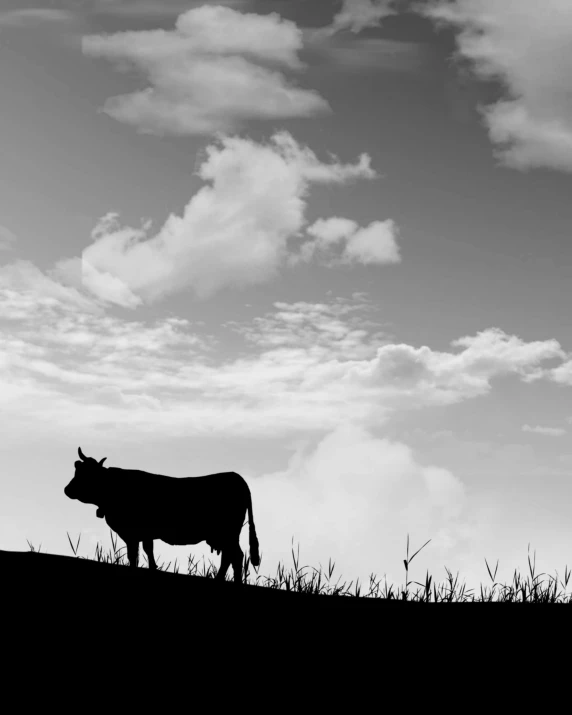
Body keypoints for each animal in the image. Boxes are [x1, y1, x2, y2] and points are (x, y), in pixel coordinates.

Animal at [65, 450, 260, 584]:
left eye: (87, 475)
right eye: (77, 471)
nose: (67, 490)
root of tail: (237, 477)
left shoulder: (133, 533)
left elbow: (134, 555)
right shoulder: (144, 534)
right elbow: (146, 551)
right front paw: (152, 568)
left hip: (228, 533)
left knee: (235, 556)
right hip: (225, 535)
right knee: (230, 556)